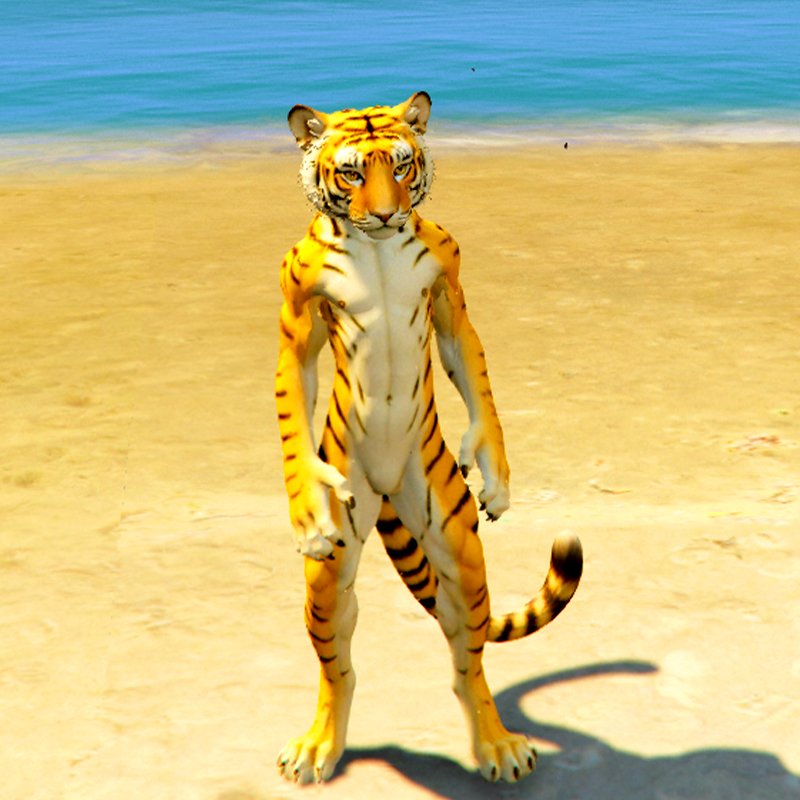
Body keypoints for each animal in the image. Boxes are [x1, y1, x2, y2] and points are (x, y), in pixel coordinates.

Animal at [274, 91, 583, 785]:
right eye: (351, 173)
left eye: (401, 164)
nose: (388, 212)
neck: (377, 246)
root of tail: (389, 490)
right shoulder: (297, 315)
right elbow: (290, 407)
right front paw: (307, 510)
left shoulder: (449, 290)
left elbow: (474, 371)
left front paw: (495, 474)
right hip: (332, 577)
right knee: (338, 663)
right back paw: (319, 747)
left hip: (452, 535)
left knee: (467, 654)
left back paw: (496, 744)